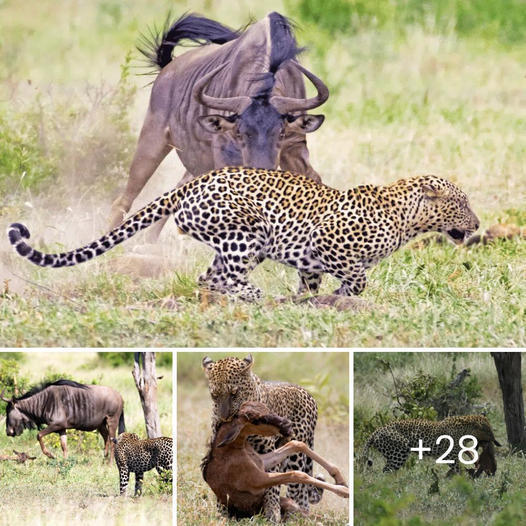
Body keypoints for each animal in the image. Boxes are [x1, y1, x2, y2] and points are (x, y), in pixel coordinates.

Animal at [8, 168, 480, 302]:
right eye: (463, 202)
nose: (477, 226)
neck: (406, 218)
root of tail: (195, 180)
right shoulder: (326, 243)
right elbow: (358, 277)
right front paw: (340, 297)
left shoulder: (310, 261)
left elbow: (315, 283)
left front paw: (312, 301)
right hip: (248, 234)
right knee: (227, 277)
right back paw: (256, 297)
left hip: (237, 243)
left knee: (209, 278)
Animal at [203, 354, 324, 524]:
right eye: (214, 396)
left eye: (234, 394)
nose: (224, 418)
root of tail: (308, 394)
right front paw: (222, 513)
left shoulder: (266, 452)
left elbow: (272, 489)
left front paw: (272, 512)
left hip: (296, 458)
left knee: (299, 492)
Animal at [364, 418, 504, 476]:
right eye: (488, 430)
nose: (496, 442)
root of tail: (375, 431)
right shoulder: (450, 455)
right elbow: (459, 468)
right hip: (398, 453)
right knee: (386, 471)